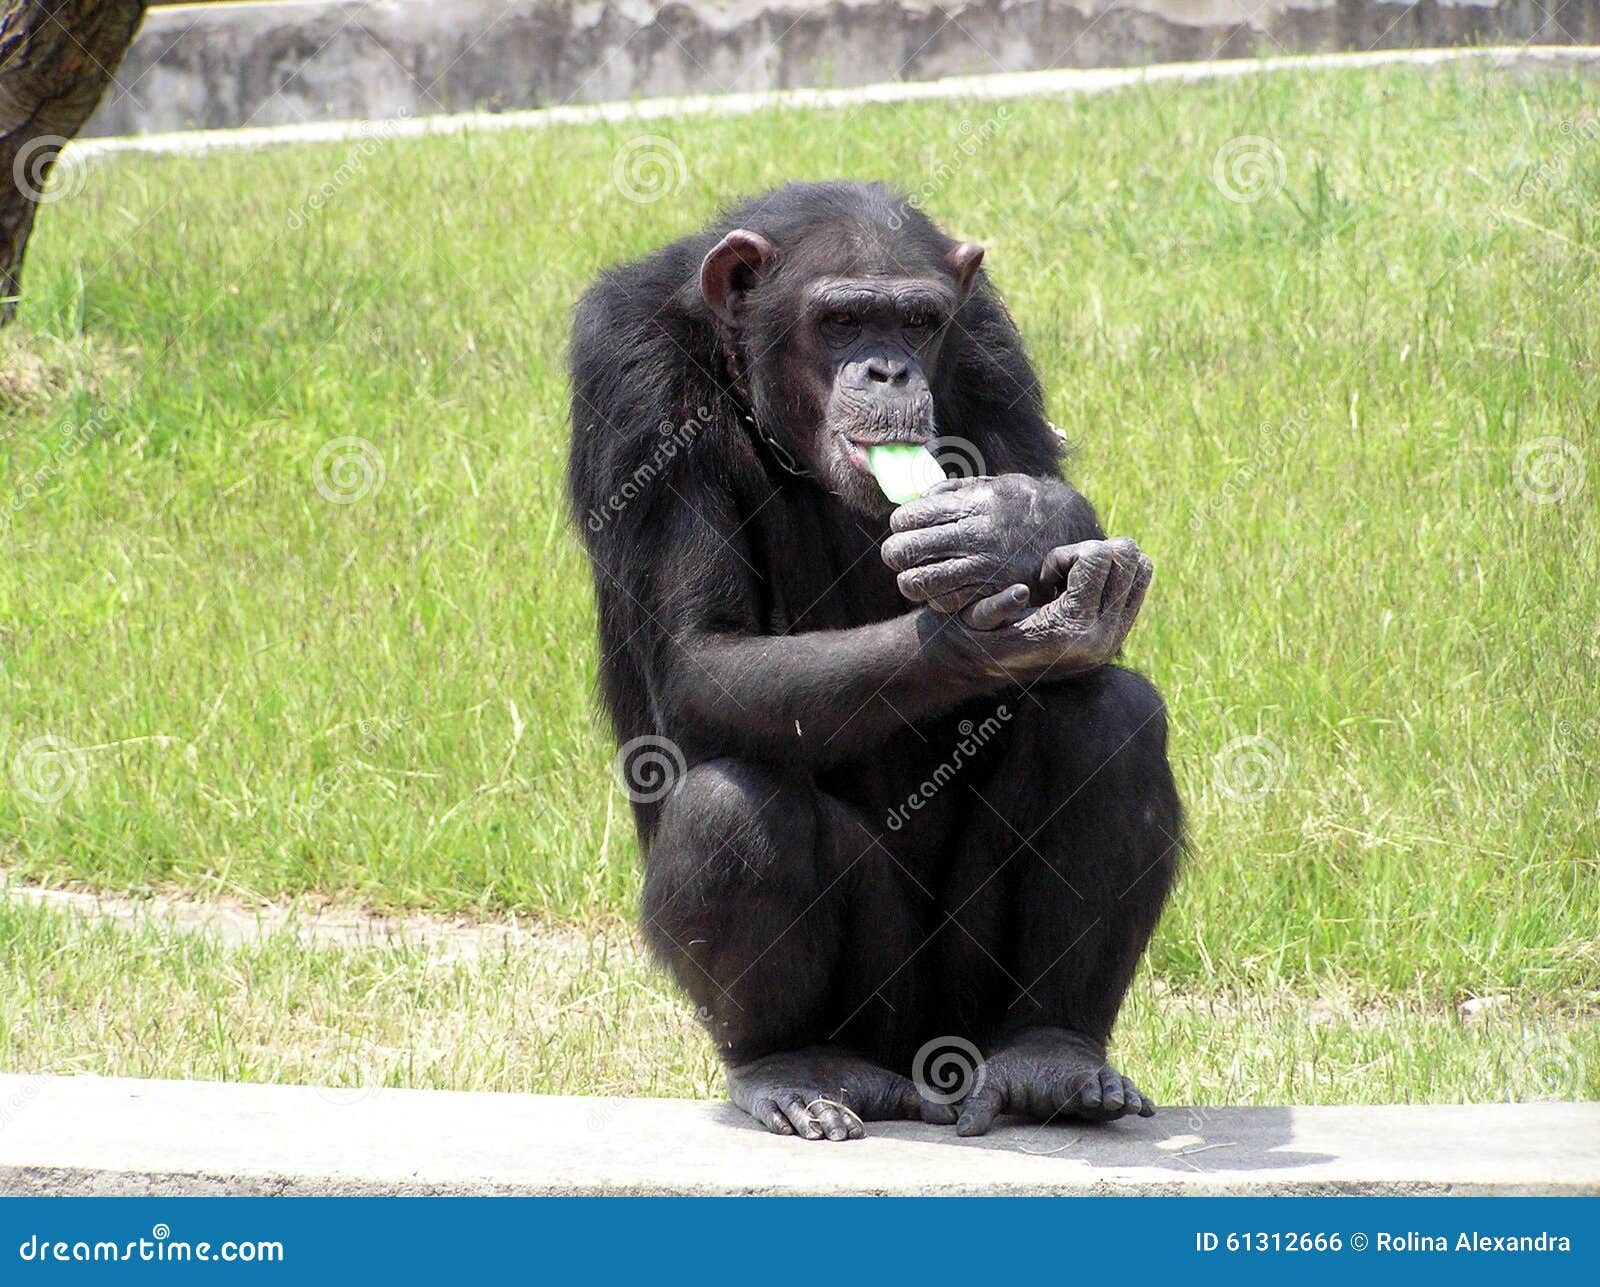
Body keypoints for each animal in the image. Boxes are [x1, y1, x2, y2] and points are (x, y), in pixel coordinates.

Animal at [563, 178, 1177, 1133]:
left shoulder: (988, 344)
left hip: (966, 1003)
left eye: (918, 323)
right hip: (883, 1010)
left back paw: (1053, 1054)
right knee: (733, 809)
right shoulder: (632, 379)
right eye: (845, 320)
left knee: (1113, 720)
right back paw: (795, 1064)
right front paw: (969, 636)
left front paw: (1017, 525)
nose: (889, 370)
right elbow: (702, 654)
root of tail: (928, 1067)